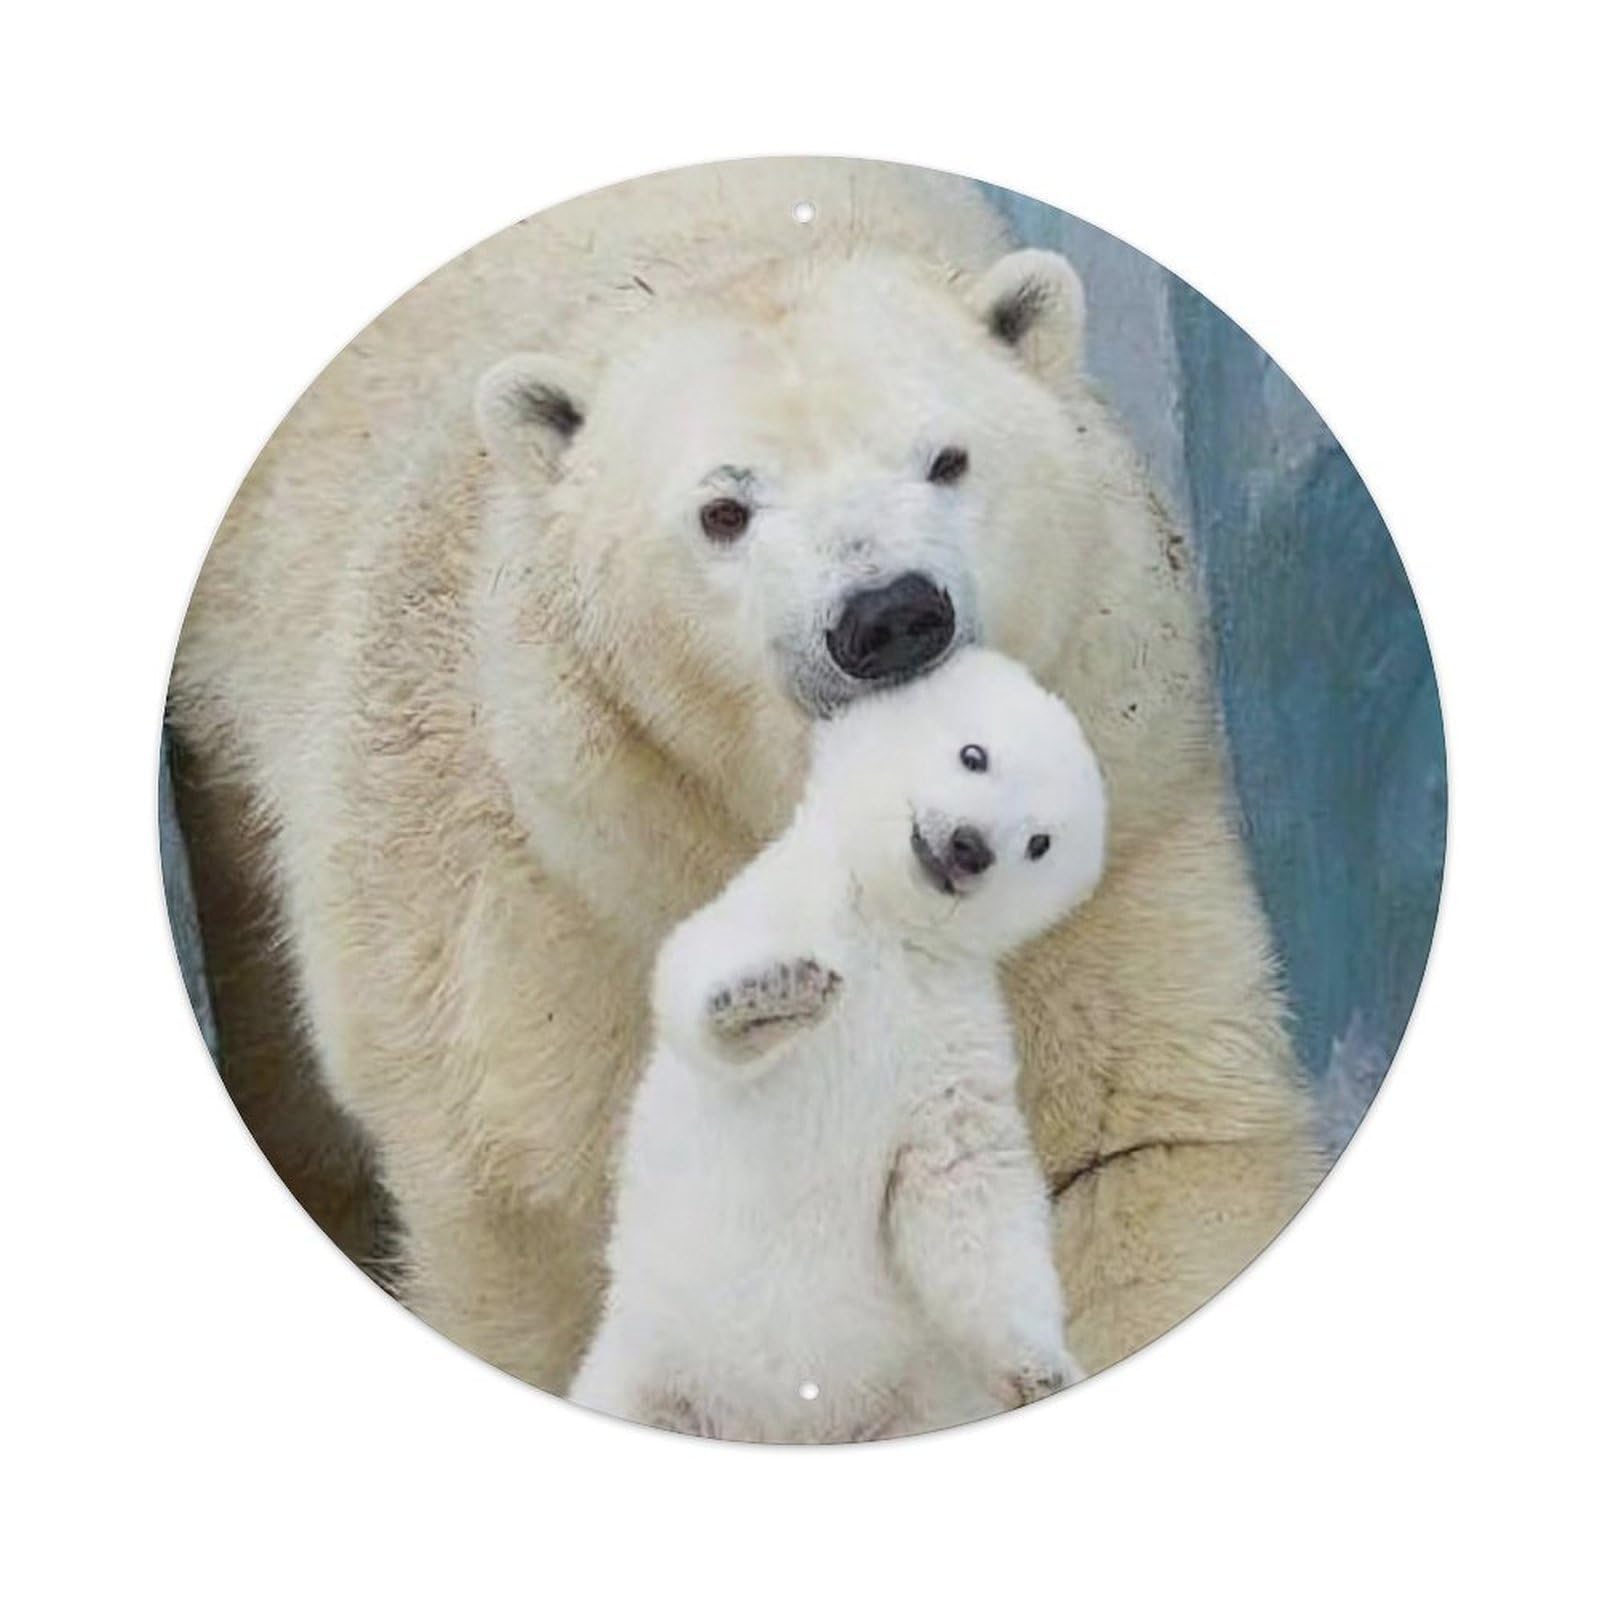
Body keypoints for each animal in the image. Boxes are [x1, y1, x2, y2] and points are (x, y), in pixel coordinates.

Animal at [572, 648, 1107, 1442]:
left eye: (1040, 843)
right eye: (974, 754)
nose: (969, 847)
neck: (887, 926)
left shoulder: (949, 1035)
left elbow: (965, 1182)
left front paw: (1041, 1368)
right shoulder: (781, 902)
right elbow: (695, 976)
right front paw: (771, 996)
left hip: (915, 1397)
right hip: (646, 1367)